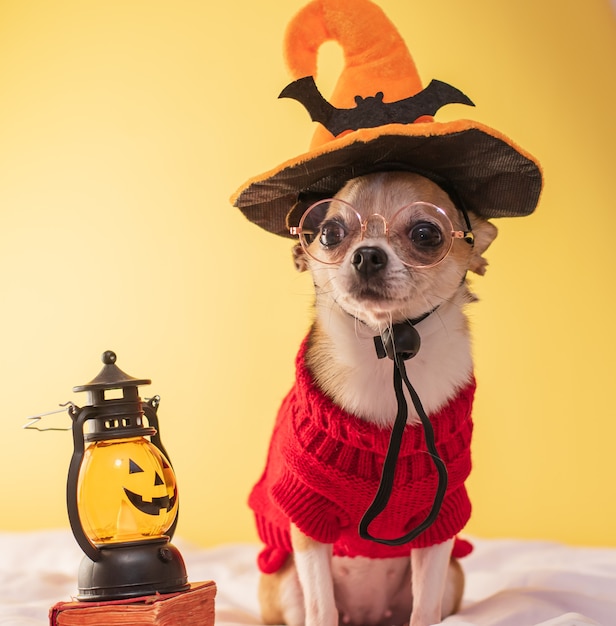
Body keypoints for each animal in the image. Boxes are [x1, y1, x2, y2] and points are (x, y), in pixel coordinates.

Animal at [248, 171, 498, 624]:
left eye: (426, 234)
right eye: (330, 233)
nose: (367, 255)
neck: (388, 355)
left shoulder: (439, 521)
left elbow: (425, 610)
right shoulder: (308, 518)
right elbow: (321, 610)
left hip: (453, 577)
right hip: (284, 579)